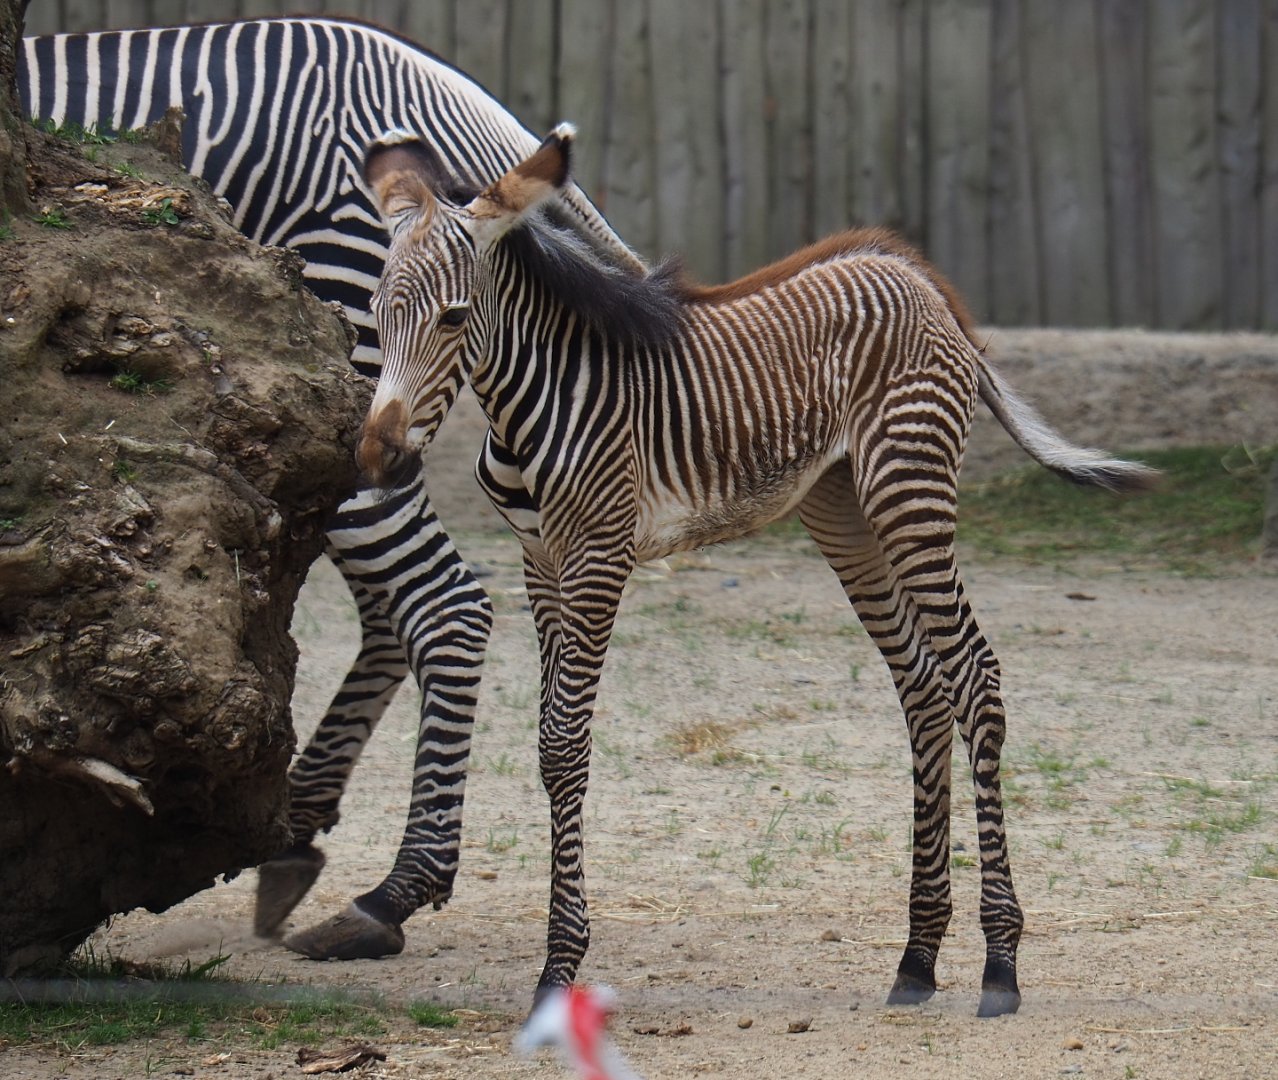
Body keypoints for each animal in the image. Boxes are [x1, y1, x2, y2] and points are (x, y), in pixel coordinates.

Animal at [19, 18, 643, 962]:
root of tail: (445, 93)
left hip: (340, 374)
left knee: (443, 600)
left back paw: (391, 890)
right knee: (397, 605)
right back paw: (301, 829)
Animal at [355, 125, 1157, 1017]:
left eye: (455, 316)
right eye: (376, 312)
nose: (376, 458)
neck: (536, 401)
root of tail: (916, 275)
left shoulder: (598, 555)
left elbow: (564, 746)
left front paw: (559, 969)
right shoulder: (540, 562)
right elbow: (545, 743)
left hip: (909, 491)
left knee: (975, 676)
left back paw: (1000, 965)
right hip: (846, 513)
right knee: (923, 687)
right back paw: (917, 957)